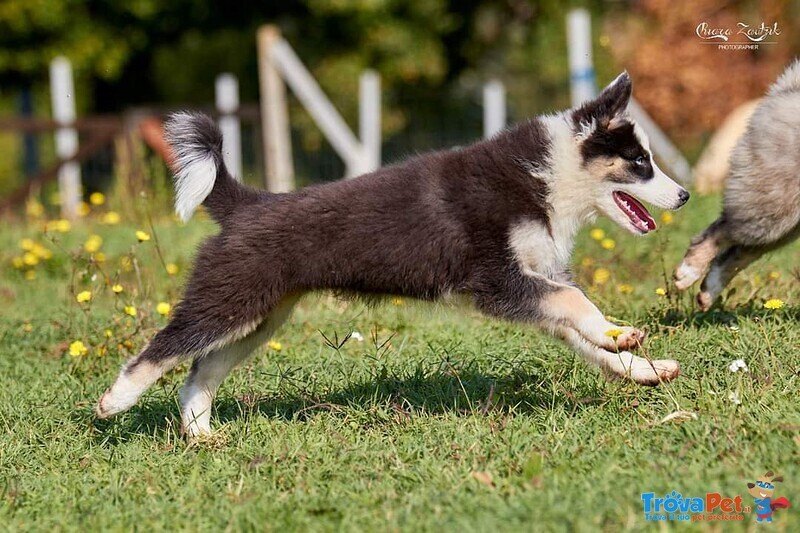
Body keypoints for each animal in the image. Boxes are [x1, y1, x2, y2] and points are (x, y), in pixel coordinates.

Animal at [98, 72, 688, 434]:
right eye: (639, 162)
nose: (683, 196)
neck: (547, 177)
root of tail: (249, 203)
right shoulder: (498, 282)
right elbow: (575, 303)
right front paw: (622, 339)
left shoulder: (536, 279)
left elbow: (584, 331)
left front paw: (636, 361)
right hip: (228, 299)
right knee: (164, 348)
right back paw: (115, 402)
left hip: (259, 316)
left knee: (200, 370)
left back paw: (200, 436)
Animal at [676, 59, 800, 308]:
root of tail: (784, 91)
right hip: (773, 209)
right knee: (720, 232)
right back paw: (688, 273)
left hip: (783, 220)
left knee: (740, 253)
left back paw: (708, 292)